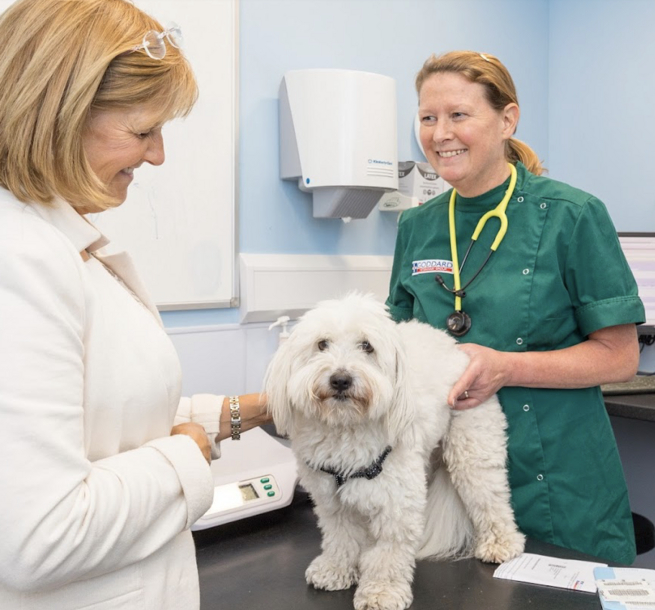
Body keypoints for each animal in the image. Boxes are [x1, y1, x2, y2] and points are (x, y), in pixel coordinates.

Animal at [264, 292, 524, 604]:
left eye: (367, 346)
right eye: (322, 344)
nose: (340, 379)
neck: (346, 428)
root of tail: (453, 345)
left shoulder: (397, 499)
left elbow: (388, 551)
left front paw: (382, 590)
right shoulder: (332, 499)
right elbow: (341, 536)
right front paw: (335, 570)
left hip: (472, 444)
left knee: (489, 496)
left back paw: (501, 543)